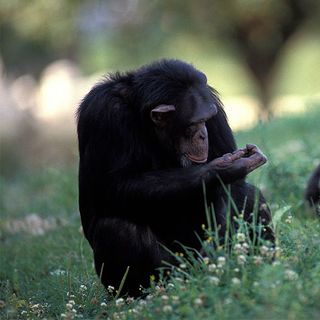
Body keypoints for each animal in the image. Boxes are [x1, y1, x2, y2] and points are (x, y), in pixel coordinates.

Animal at [76, 58, 274, 296]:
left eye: (207, 119)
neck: (143, 118)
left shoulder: (212, 102)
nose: (203, 134)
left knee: (248, 195)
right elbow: (113, 185)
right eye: (193, 124)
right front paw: (220, 170)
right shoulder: (103, 114)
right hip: (171, 272)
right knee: (118, 229)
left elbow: (234, 187)